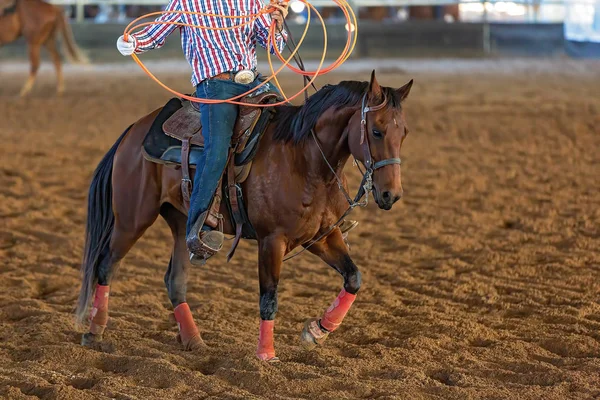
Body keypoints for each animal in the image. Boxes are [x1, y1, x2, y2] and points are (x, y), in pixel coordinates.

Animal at [75, 72, 412, 362]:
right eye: (376, 131)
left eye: (404, 133)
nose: (391, 195)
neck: (304, 158)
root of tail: (134, 131)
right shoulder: (272, 241)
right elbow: (269, 299)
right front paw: (266, 356)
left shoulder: (322, 235)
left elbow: (353, 278)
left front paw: (316, 332)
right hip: (132, 218)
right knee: (105, 265)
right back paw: (95, 332)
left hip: (181, 223)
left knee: (175, 280)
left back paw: (194, 341)